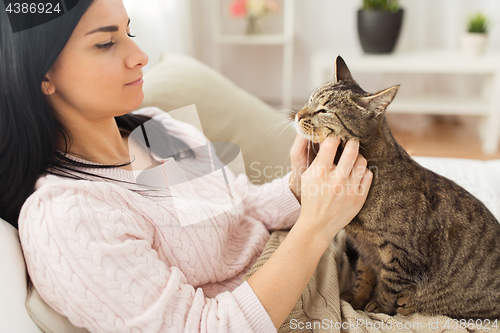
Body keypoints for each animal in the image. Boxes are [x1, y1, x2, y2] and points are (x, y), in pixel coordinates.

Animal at [292, 55, 500, 318]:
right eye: (309, 100)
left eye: (324, 110)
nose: (298, 115)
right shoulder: (365, 249)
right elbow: (364, 274)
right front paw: (358, 298)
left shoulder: (403, 256)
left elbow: (389, 284)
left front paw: (380, 306)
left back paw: (410, 302)